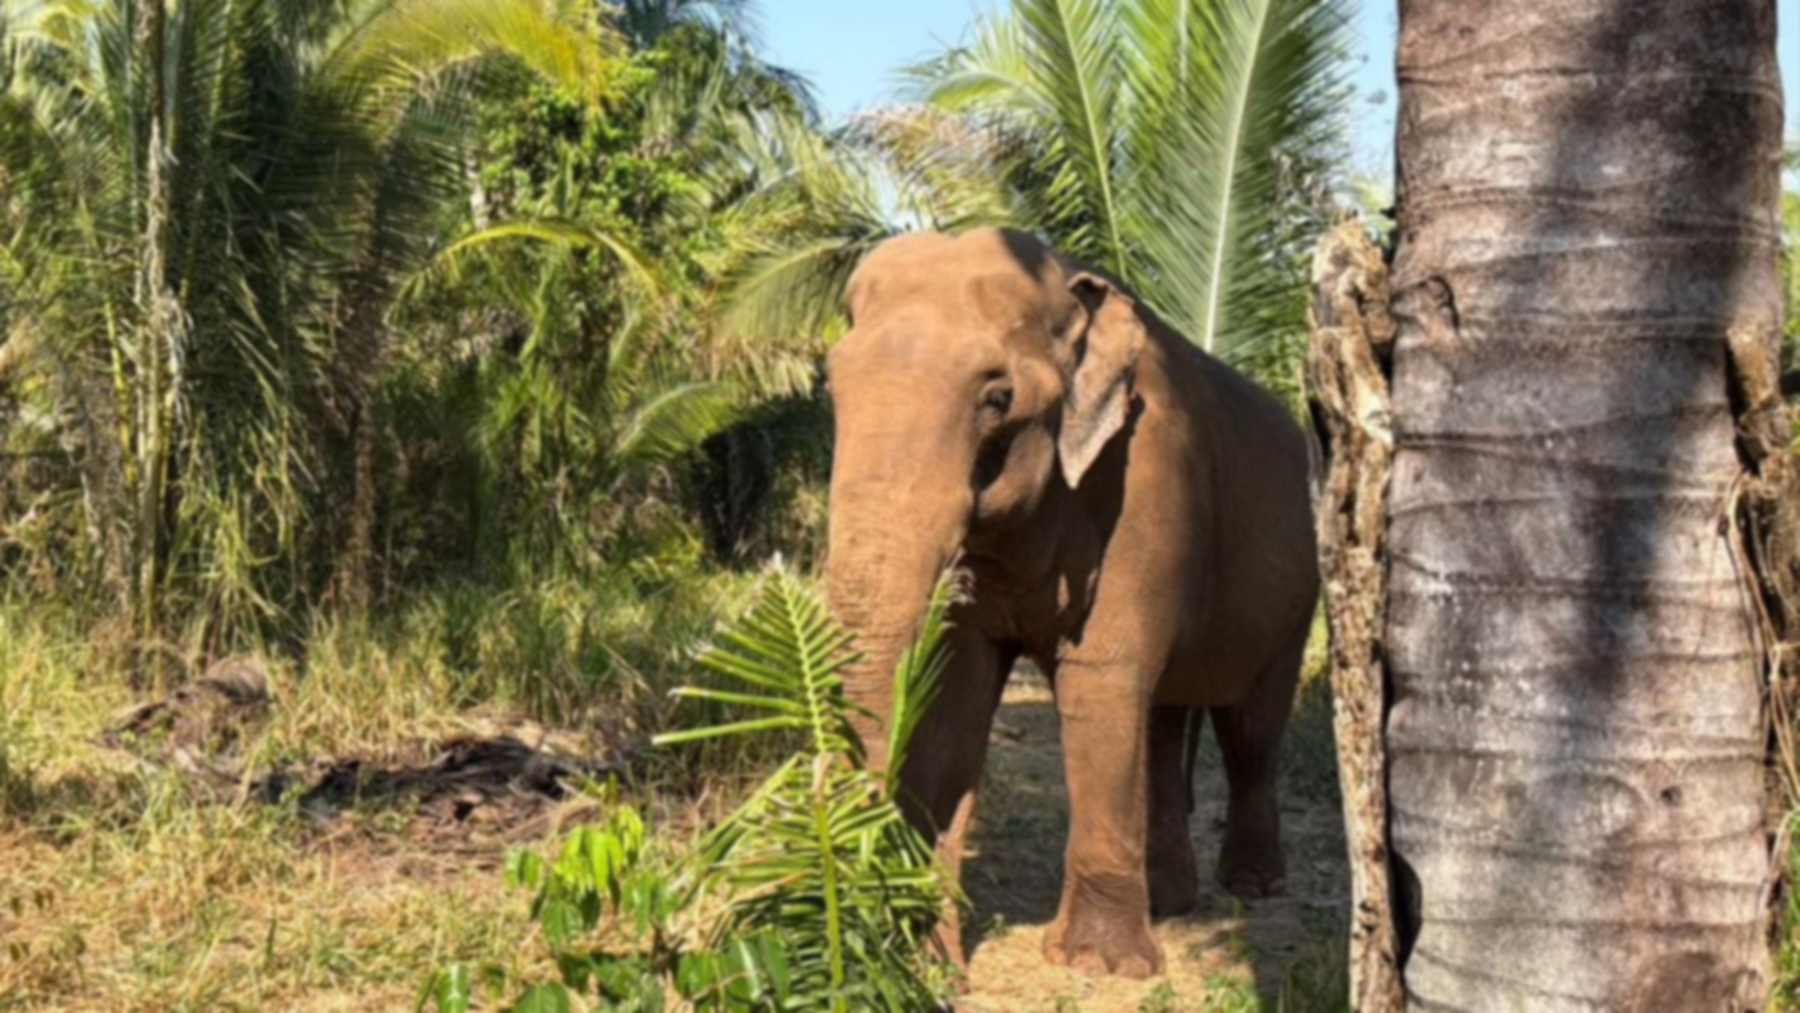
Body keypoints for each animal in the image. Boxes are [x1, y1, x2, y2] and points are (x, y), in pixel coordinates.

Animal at [823, 227, 1320, 979]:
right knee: (1163, 718)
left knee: (1250, 726)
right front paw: (933, 956)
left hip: (1300, 592)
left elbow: (1102, 680)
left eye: (997, 398)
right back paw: (1171, 902)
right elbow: (961, 691)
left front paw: (1099, 965)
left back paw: (1252, 886)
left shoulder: (1141, 485)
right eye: (831, 382)